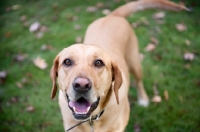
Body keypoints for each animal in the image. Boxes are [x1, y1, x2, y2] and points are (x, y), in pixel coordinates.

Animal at [50, 0, 188, 131]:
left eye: (98, 63)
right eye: (67, 62)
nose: (82, 85)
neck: (92, 120)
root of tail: (112, 15)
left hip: (134, 63)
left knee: (139, 81)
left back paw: (143, 99)